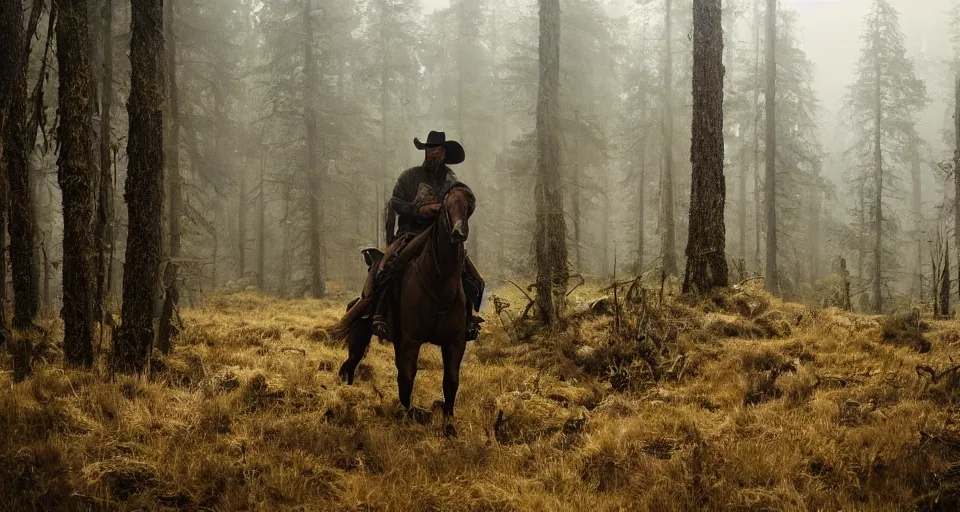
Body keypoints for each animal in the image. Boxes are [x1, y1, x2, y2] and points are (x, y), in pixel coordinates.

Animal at [338, 184, 476, 432]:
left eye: (469, 206)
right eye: (447, 205)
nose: (459, 232)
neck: (439, 283)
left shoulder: (455, 343)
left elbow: (450, 381)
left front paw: (449, 426)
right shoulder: (411, 341)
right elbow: (408, 376)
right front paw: (405, 417)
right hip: (362, 337)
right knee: (350, 365)